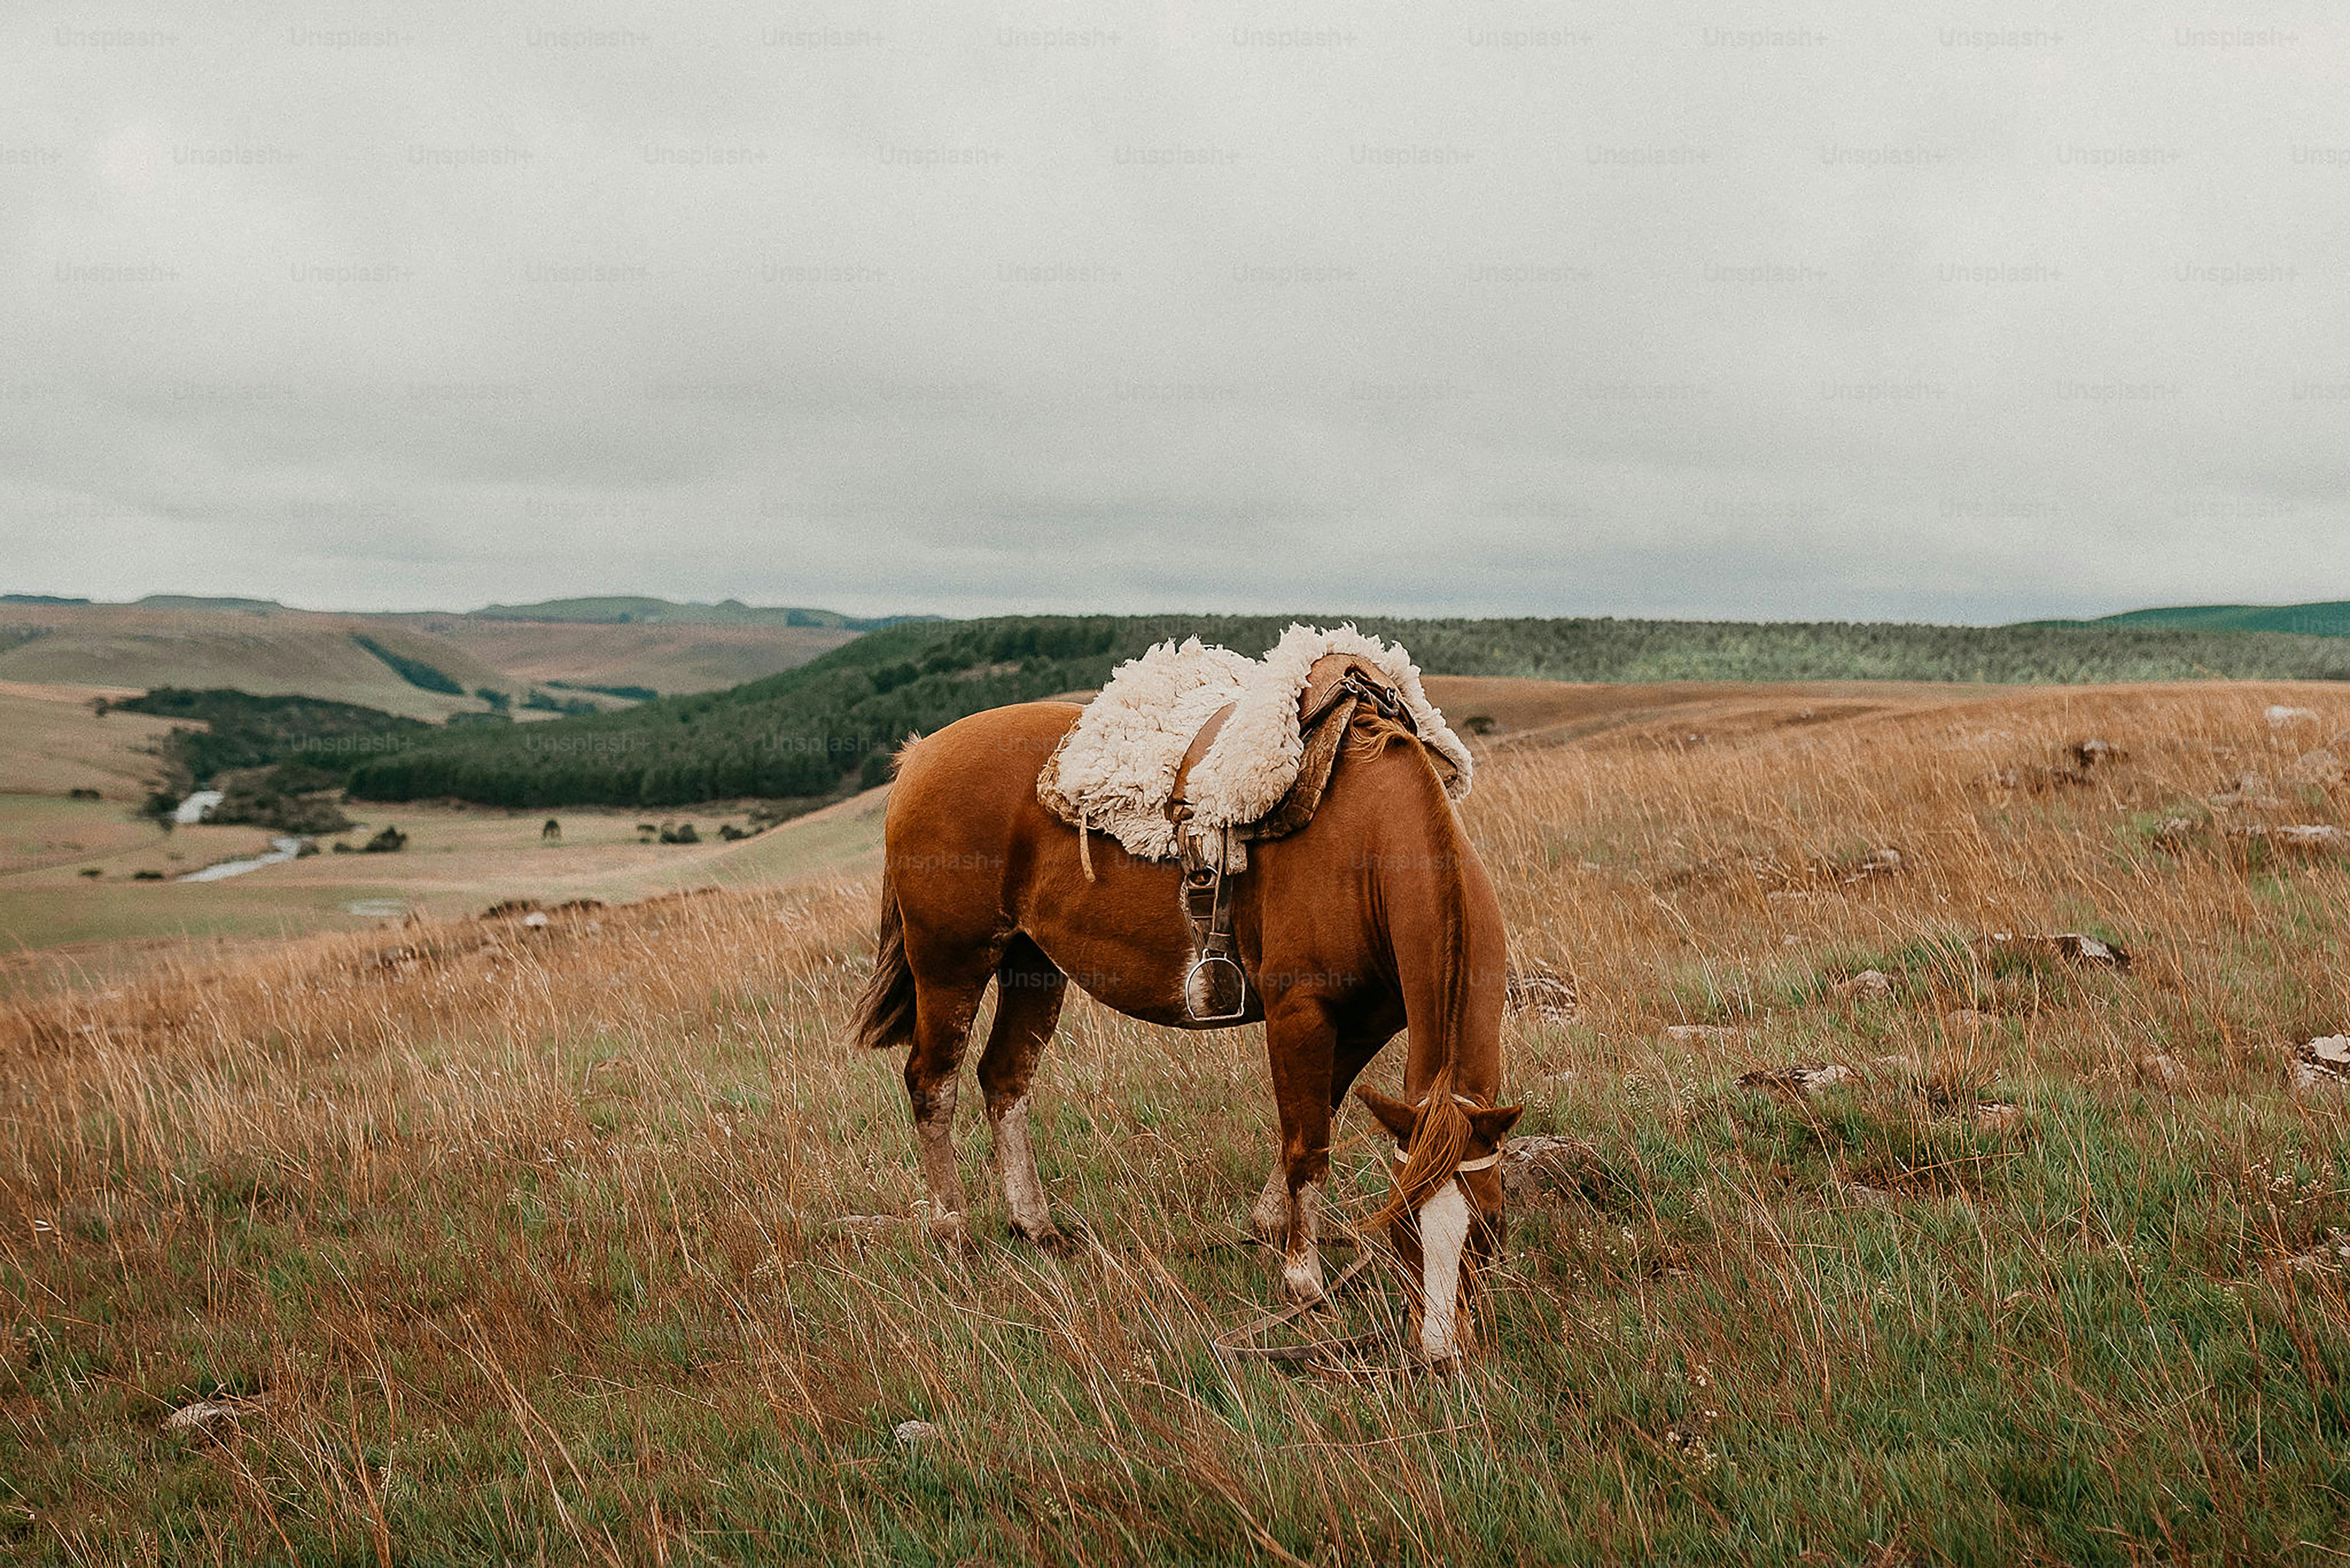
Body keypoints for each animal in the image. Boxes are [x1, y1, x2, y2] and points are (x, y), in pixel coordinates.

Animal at [849, 696, 1522, 1363]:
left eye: (1490, 1223)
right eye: (1401, 1220)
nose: (1439, 1350)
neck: (1368, 836)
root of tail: (918, 757)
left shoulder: (1371, 1018)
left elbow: (1321, 1114)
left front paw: (1268, 1226)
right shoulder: (1299, 1012)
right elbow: (1306, 1143)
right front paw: (1302, 1280)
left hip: (1031, 964)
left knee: (1004, 1077)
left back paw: (1036, 1228)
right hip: (951, 964)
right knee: (932, 1083)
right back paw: (953, 1232)